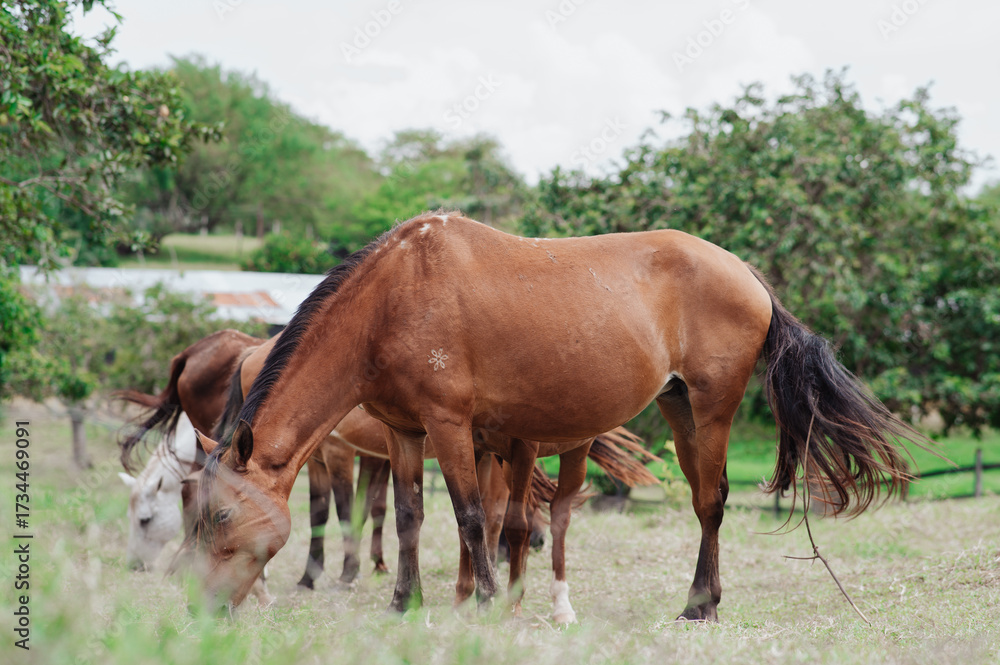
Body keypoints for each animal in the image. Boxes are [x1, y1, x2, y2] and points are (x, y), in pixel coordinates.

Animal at [186, 212, 918, 622]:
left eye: (220, 516)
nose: (202, 608)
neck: (394, 294)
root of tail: (748, 275)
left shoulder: (450, 426)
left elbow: (471, 515)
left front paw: (482, 603)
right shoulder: (404, 432)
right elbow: (408, 515)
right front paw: (406, 601)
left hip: (713, 410)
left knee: (711, 503)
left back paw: (700, 605)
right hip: (679, 407)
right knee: (703, 502)